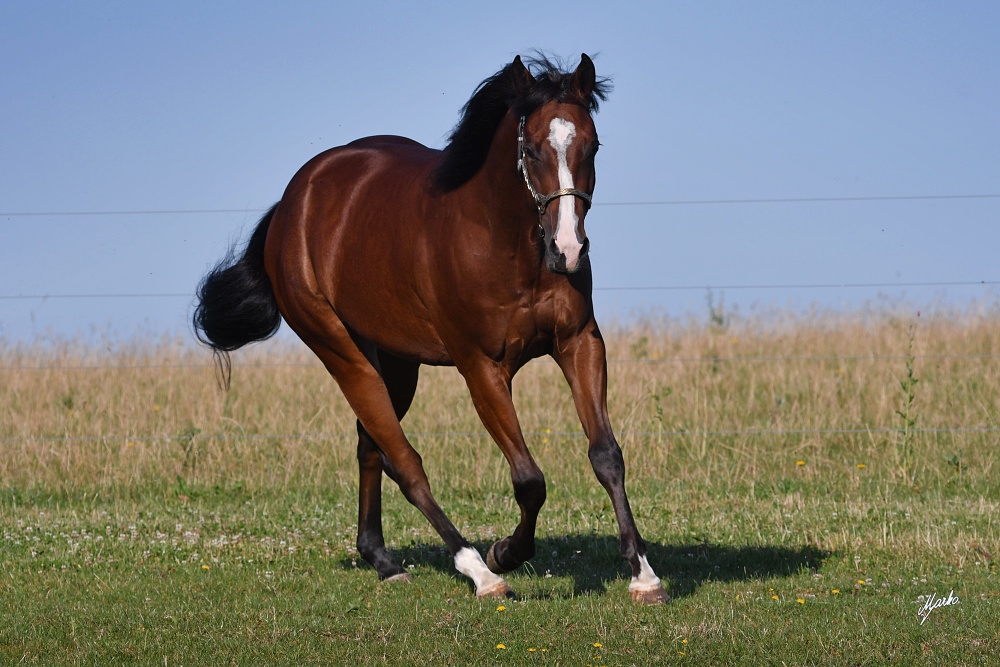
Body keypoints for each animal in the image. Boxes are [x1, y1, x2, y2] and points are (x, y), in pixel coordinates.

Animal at [192, 53, 668, 604]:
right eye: (530, 148)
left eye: (592, 144)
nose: (567, 250)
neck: (505, 243)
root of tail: (292, 205)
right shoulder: (481, 368)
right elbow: (529, 479)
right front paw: (505, 552)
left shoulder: (579, 344)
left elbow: (606, 455)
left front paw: (644, 575)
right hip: (341, 352)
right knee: (404, 461)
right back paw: (478, 572)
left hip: (396, 363)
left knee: (370, 446)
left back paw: (382, 559)